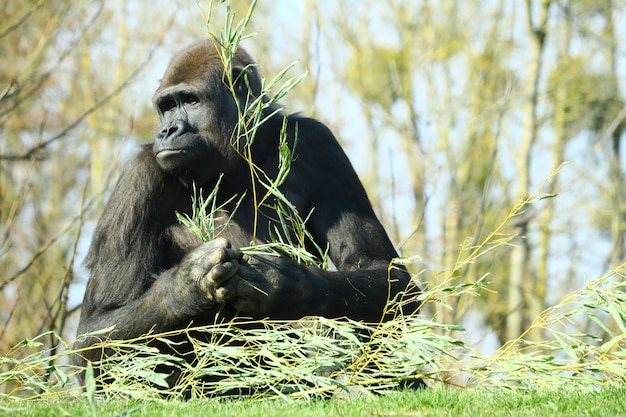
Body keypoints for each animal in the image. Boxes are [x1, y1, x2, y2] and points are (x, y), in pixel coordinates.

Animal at [73, 39, 420, 386]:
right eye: (167, 106)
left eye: (191, 101)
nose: (168, 130)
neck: (238, 159)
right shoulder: (138, 178)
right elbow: (94, 336)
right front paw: (187, 286)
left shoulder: (319, 144)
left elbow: (387, 273)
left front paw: (282, 284)